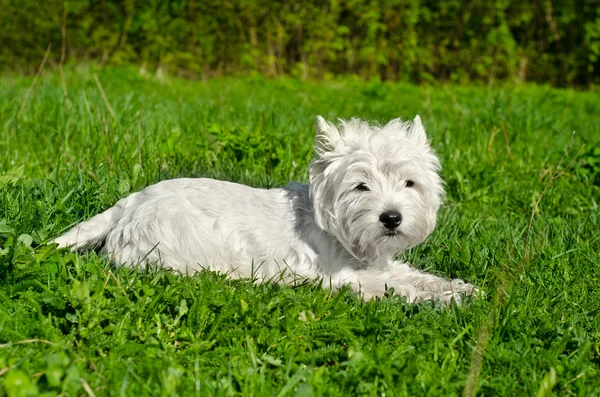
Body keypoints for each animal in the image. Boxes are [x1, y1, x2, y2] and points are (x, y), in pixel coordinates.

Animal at [56, 116, 478, 302]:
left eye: (409, 183)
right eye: (361, 186)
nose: (391, 218)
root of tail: (129, 204)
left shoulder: (379, 263)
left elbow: (415, 275)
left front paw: (460, 288)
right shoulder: (343, 278)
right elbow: (394, 286)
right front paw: (444, 300)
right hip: (182, 244)